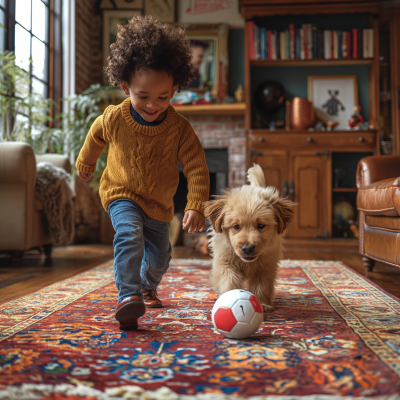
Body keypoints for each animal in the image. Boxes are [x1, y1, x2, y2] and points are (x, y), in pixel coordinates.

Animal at [205, 164, 296, 310]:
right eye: (236, 226)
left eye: (260, 225)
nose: (247, 248)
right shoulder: (224, 263)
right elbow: (229, 281)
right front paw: (229, 299)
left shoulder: (265, 268)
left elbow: (262, 288)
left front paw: (262, 304)